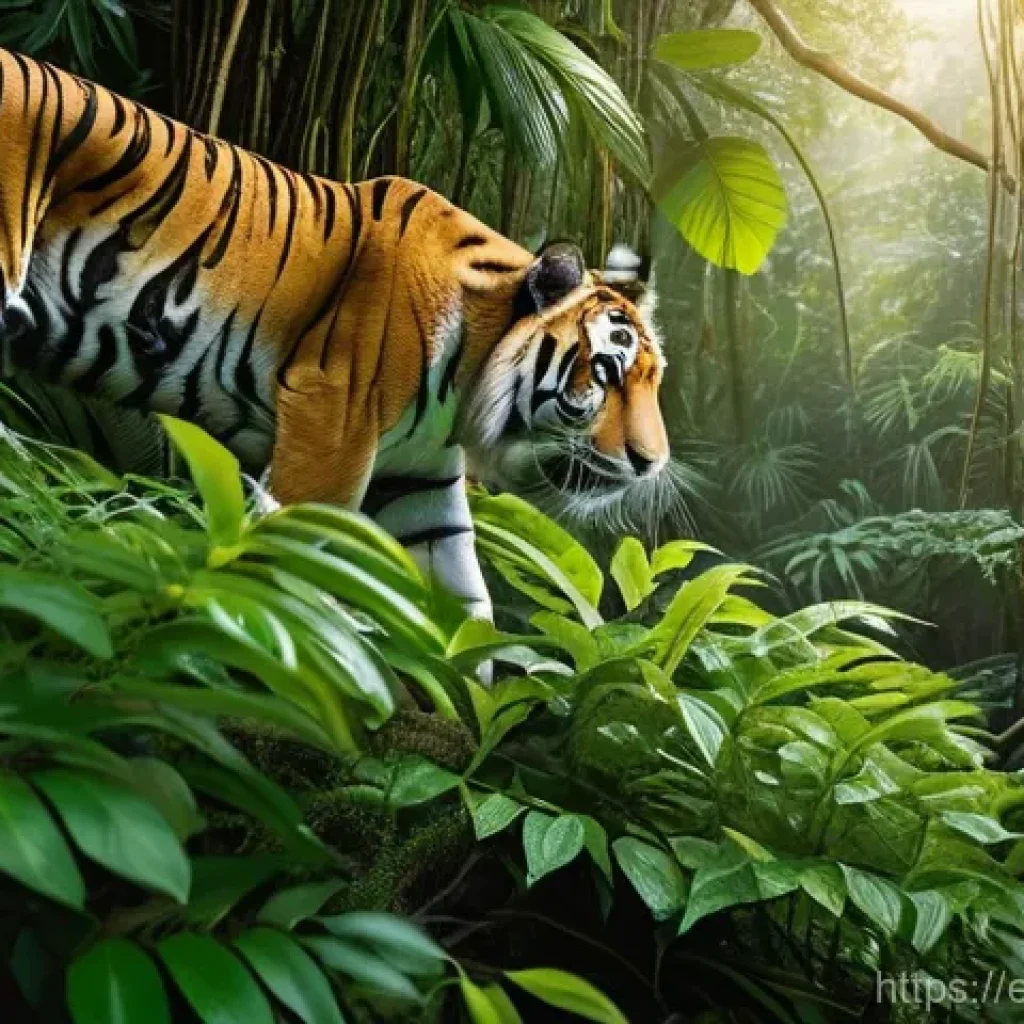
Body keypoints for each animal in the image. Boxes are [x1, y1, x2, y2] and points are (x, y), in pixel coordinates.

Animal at [0, 46, 669, 622]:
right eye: (605, 371)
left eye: (653, 379)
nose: (651, 463)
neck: (466, 385)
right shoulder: (330, 427)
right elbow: (296, 557)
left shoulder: (422, 484)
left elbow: (466, 609)